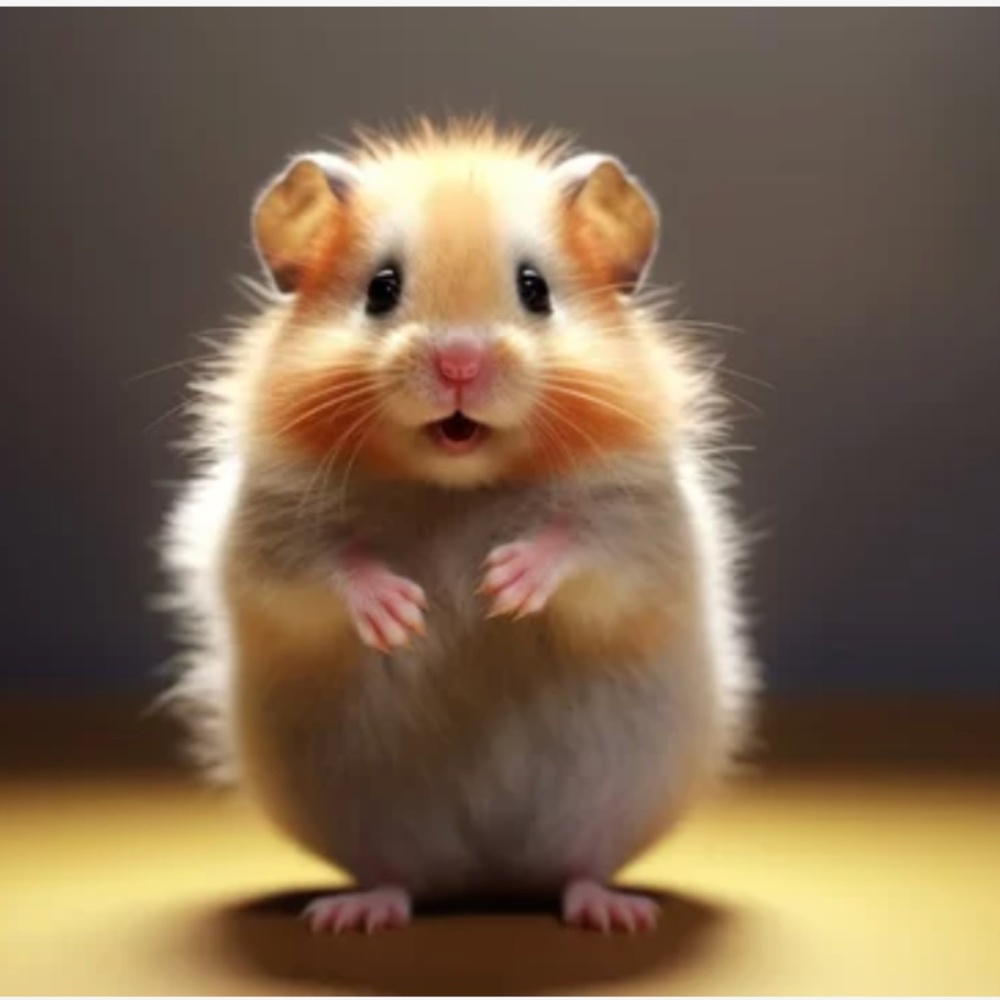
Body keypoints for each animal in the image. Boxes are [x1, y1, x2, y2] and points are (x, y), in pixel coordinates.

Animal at [157, 117, 759, 935]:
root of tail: (488, 881)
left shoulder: (641, 525)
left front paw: (502, 586)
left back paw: (614, 913)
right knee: (397, 878)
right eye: (381, 290)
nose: (459, 363)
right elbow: (324, 568)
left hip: (605, 809)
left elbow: (583, 549)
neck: (455, 485)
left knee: (582, 869)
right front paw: (404, 615)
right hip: (375, 826)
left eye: (536, 290)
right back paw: (349, 915)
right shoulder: (270, 528)